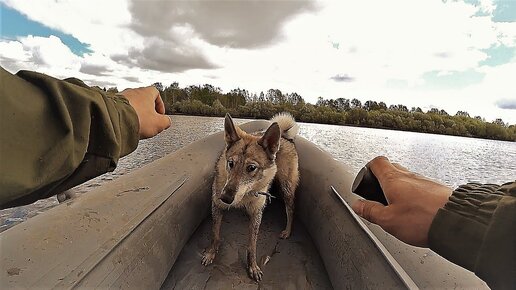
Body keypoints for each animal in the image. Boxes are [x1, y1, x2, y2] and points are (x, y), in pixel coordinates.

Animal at [201, 112, 300, 280]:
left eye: (251, 168)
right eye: (230, 163)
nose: (225, 198)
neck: (245, 196)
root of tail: (284, 135)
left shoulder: (256, 214)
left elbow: (252, 246)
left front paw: (253, 267)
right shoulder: (216, 206)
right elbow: (215, 234)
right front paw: (210, 253)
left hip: (287, 188)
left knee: (290, 210)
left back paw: (287, 231)